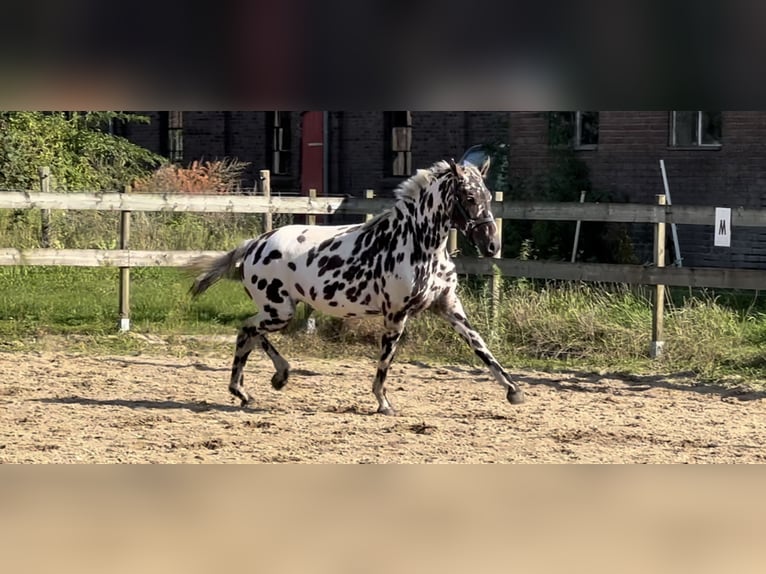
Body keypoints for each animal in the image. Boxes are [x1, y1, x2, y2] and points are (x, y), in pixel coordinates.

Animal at [187, 160, 524, 416]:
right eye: (468, 197)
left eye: (487, 196)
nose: (492, 245)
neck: (419, 244)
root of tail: (254, 244)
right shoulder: (396, 315)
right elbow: (385, 361)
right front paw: (384, 403)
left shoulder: (449, 307)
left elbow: (482, 348)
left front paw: (514, 391)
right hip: (278, 311)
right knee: (247, 330)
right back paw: (251, 387)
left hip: (278, 311)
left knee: (251, 332)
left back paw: (266, 383)